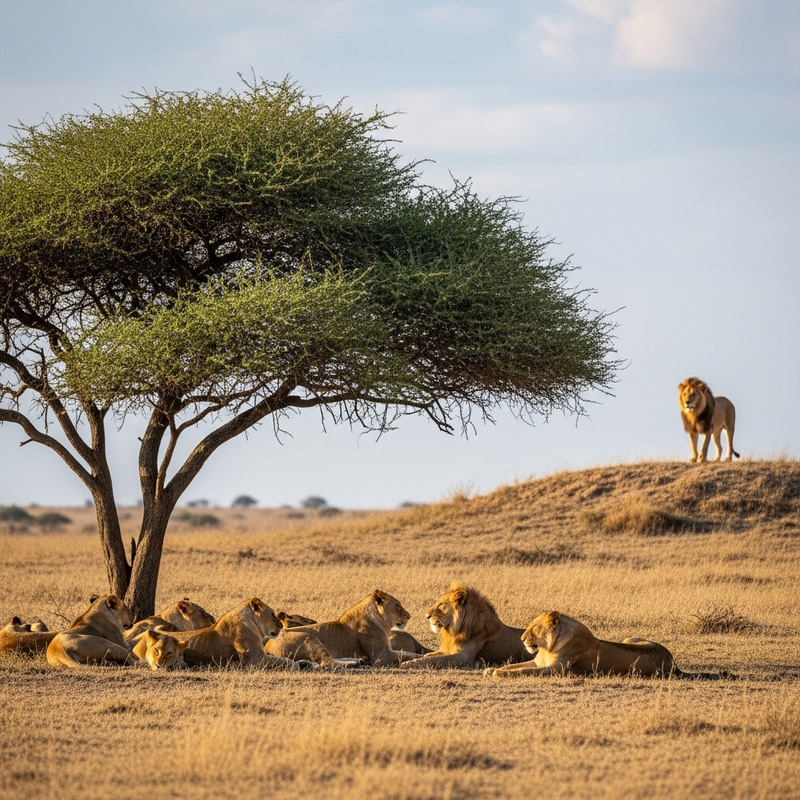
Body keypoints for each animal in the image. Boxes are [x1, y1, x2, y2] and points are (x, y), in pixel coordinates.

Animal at [265, 590, 422, 667]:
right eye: (397, 605)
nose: (409, 616)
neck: (380, 620)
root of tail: (266, 646)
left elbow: (406, 652)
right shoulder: (381, 655)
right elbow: (408, 655)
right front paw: (422, 657)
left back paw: (359, 661)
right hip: (309, 638)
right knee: (328, 663)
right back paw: (357, 663)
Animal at [400, 583, 529, 669]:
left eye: (441, 605)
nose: (426, 616)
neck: (454, 630)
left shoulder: (463, 657)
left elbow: (434, 659)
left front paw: (407, 663)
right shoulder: (447, 649)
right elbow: (428, 655)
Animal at [486, 611, 697, 678]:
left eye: (535, 628)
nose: (522, 639)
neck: (548, 648)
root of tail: (673, 661)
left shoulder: (556, 669)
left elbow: (523, 670)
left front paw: (499, 673)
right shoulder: (539, 662)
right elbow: (514, 665)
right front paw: (491, 670)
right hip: (630, 638)